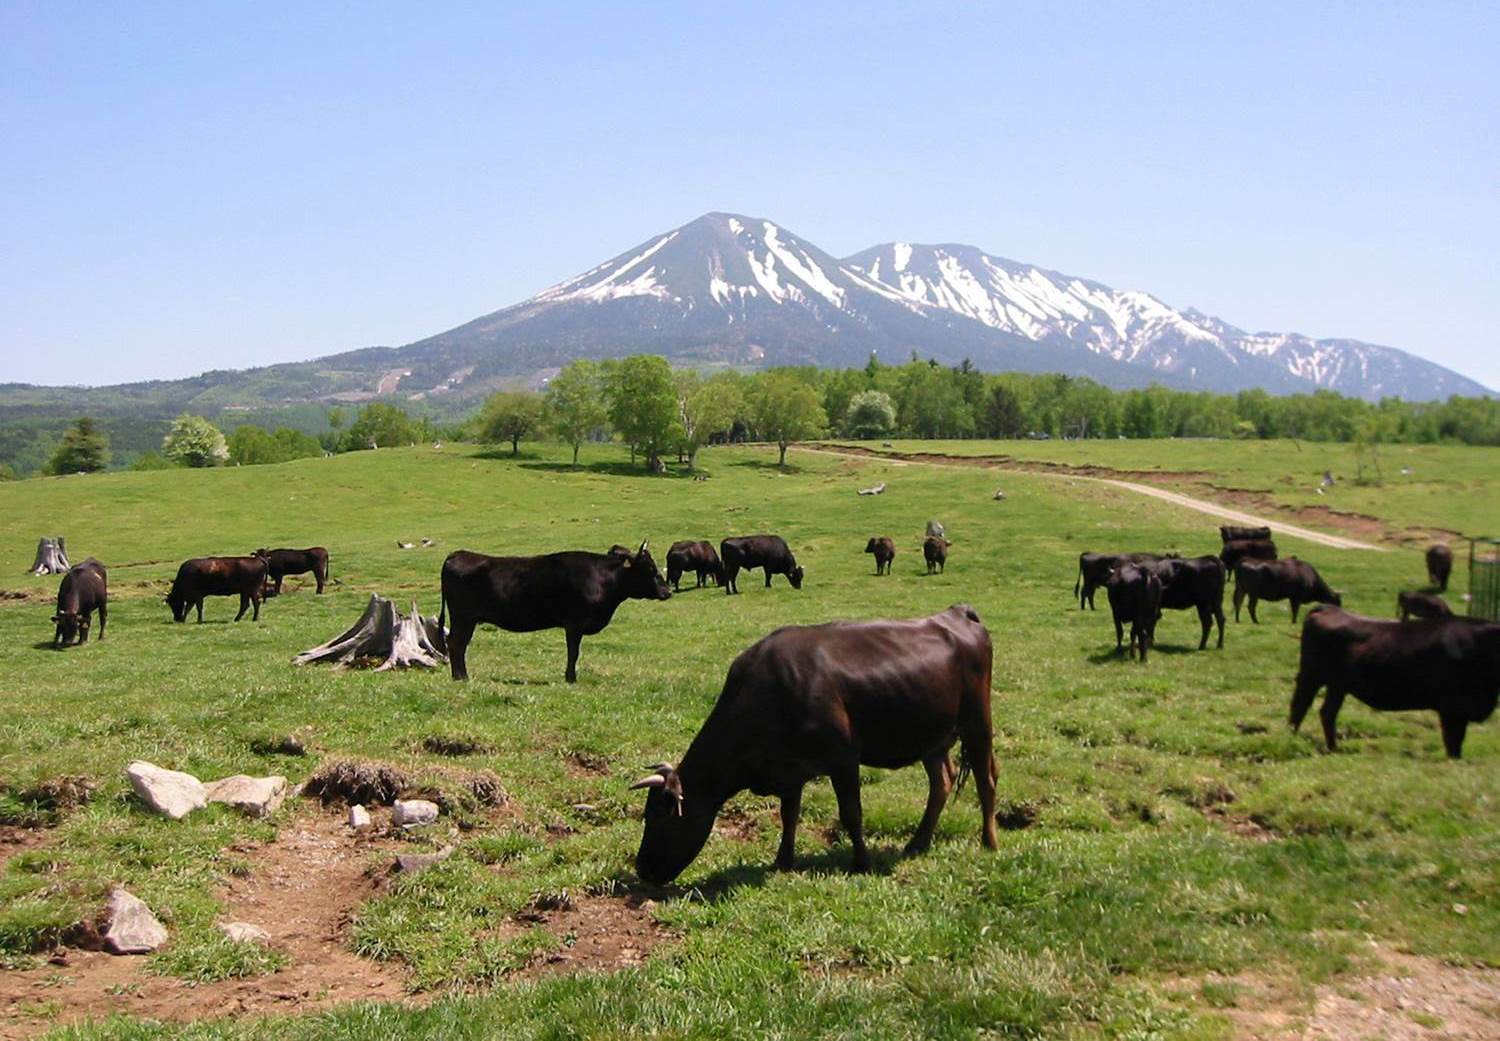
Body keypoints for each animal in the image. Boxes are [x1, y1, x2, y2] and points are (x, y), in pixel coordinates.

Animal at [438, 543, 675, 690]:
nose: (667, 592)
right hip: (463, 617)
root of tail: (458, 554)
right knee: (456, 643)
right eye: (650, 568)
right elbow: (573, 653)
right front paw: (571, 679)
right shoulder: (574, 623)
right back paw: (461, 677)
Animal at [630, 609, 996, 882]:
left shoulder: (844, 759)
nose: (641, 868)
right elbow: (789, 814)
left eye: (660, 816)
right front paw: (782, 860)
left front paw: (862, 863)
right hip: (932, 738)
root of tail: (956, 614)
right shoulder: (789, 769)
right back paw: (917, 843)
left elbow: (851, 814)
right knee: (942, 782)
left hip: (978, 723)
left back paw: (989, 842)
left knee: (986, 780)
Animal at [1290, 609, 1500, 762]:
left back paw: (1333, 748)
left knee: (1327, 712)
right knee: (1300, 706)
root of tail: (1326, 609)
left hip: (1338, 685)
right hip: (1311, 676)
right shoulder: (1453, 709)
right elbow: (1453, 742)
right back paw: (1290, 737)